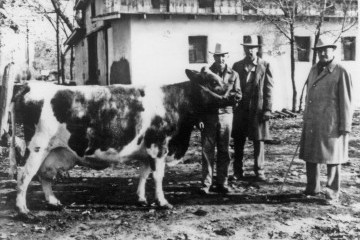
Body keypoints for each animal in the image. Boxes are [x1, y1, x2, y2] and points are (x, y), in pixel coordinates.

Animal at [0, 67, 228, 216]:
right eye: (213, 83)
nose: (234, 96)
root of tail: (29, 85)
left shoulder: (147, 151)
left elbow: (143, 174)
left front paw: (141, 199)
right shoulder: (158, 147)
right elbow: (158, 177)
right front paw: (163, 202)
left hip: (55, 151)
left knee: (44, 175)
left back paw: (54, 202)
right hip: (37, 146)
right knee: (25, 174)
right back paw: (23, 210)